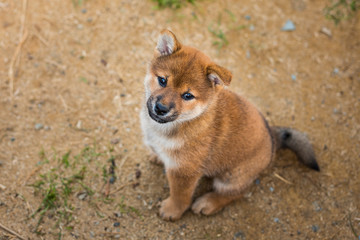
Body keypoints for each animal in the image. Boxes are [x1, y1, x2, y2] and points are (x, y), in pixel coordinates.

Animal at [139, 29, 320, 220]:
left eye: (187, 96)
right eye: (162, 80)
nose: (160, 108)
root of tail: (272, 138)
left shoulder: (184, 172)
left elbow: (180, 195)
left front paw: (172, 210)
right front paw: (157, 156)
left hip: (231, 177)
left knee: (236, 193)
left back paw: (208, 203)